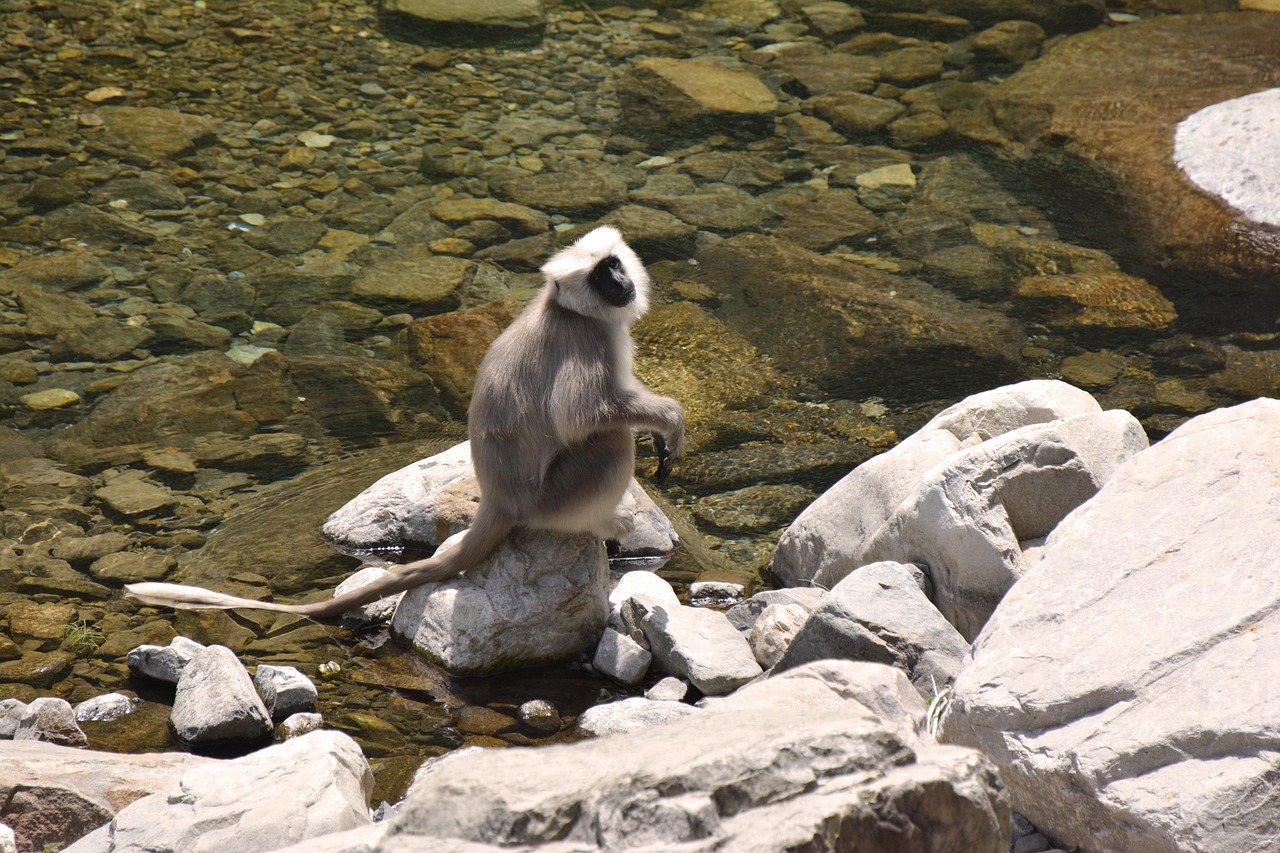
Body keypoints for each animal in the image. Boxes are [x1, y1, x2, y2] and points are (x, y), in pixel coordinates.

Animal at [126, 226, 684, 624]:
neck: (561, 307)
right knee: (609, 440)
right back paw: (600, 522)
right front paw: (669, 421)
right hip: (554, 498)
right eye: (601, 277)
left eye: (613, 265)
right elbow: (585, 416)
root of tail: (502, 500)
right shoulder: (586, 338)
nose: (621, 283)